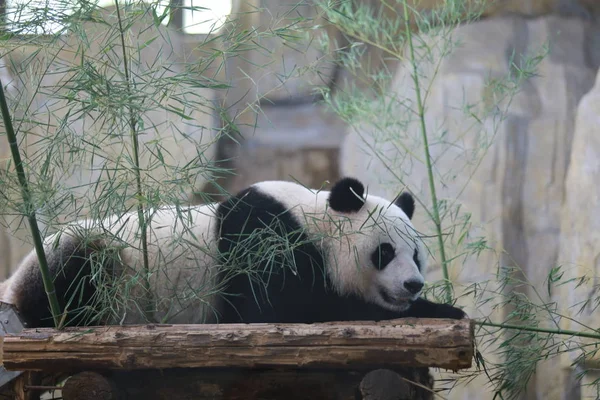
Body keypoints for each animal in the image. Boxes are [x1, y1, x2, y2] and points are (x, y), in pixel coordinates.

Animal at [0, 177, 464, 328]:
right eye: (384, 252)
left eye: (417, 255)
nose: (413, 284)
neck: (315, 226)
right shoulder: (264, 242)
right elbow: (289, 308)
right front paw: (445, 309)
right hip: (96, 263)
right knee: (75, 279)